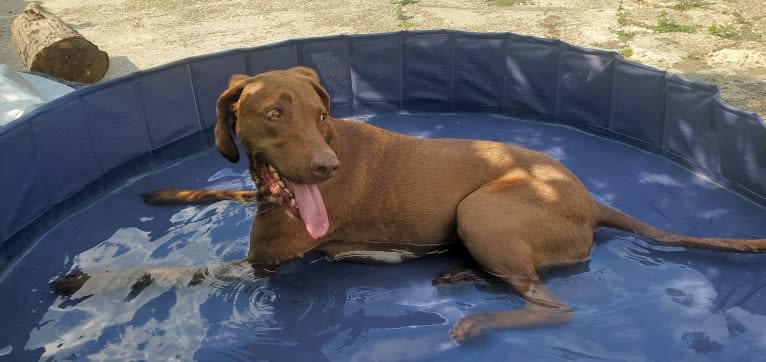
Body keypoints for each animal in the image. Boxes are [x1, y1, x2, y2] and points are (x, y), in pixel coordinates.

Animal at [55, 67, 766, 342]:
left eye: (321, 114)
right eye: (274, 113)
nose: (326, 167)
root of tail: (594, 202)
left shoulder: (265, 265)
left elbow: (171, 269)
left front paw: (86, 278)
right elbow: (225, 187)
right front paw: (170, 192)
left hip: (484, 210)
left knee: (555, 308)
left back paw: (479, 320)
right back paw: (459, 275)